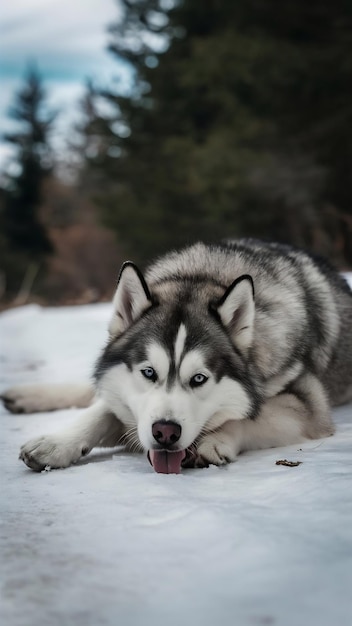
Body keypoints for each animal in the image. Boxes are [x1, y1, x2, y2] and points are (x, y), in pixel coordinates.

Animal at [2, 239, 352, 472]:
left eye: (199, 379)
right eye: (148, 373)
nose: (165, 432)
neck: (202, 277)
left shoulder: (309, 404)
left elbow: (252, 416)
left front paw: (215, 440)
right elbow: (101, 410)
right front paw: (56, 443)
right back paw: (23, 396)